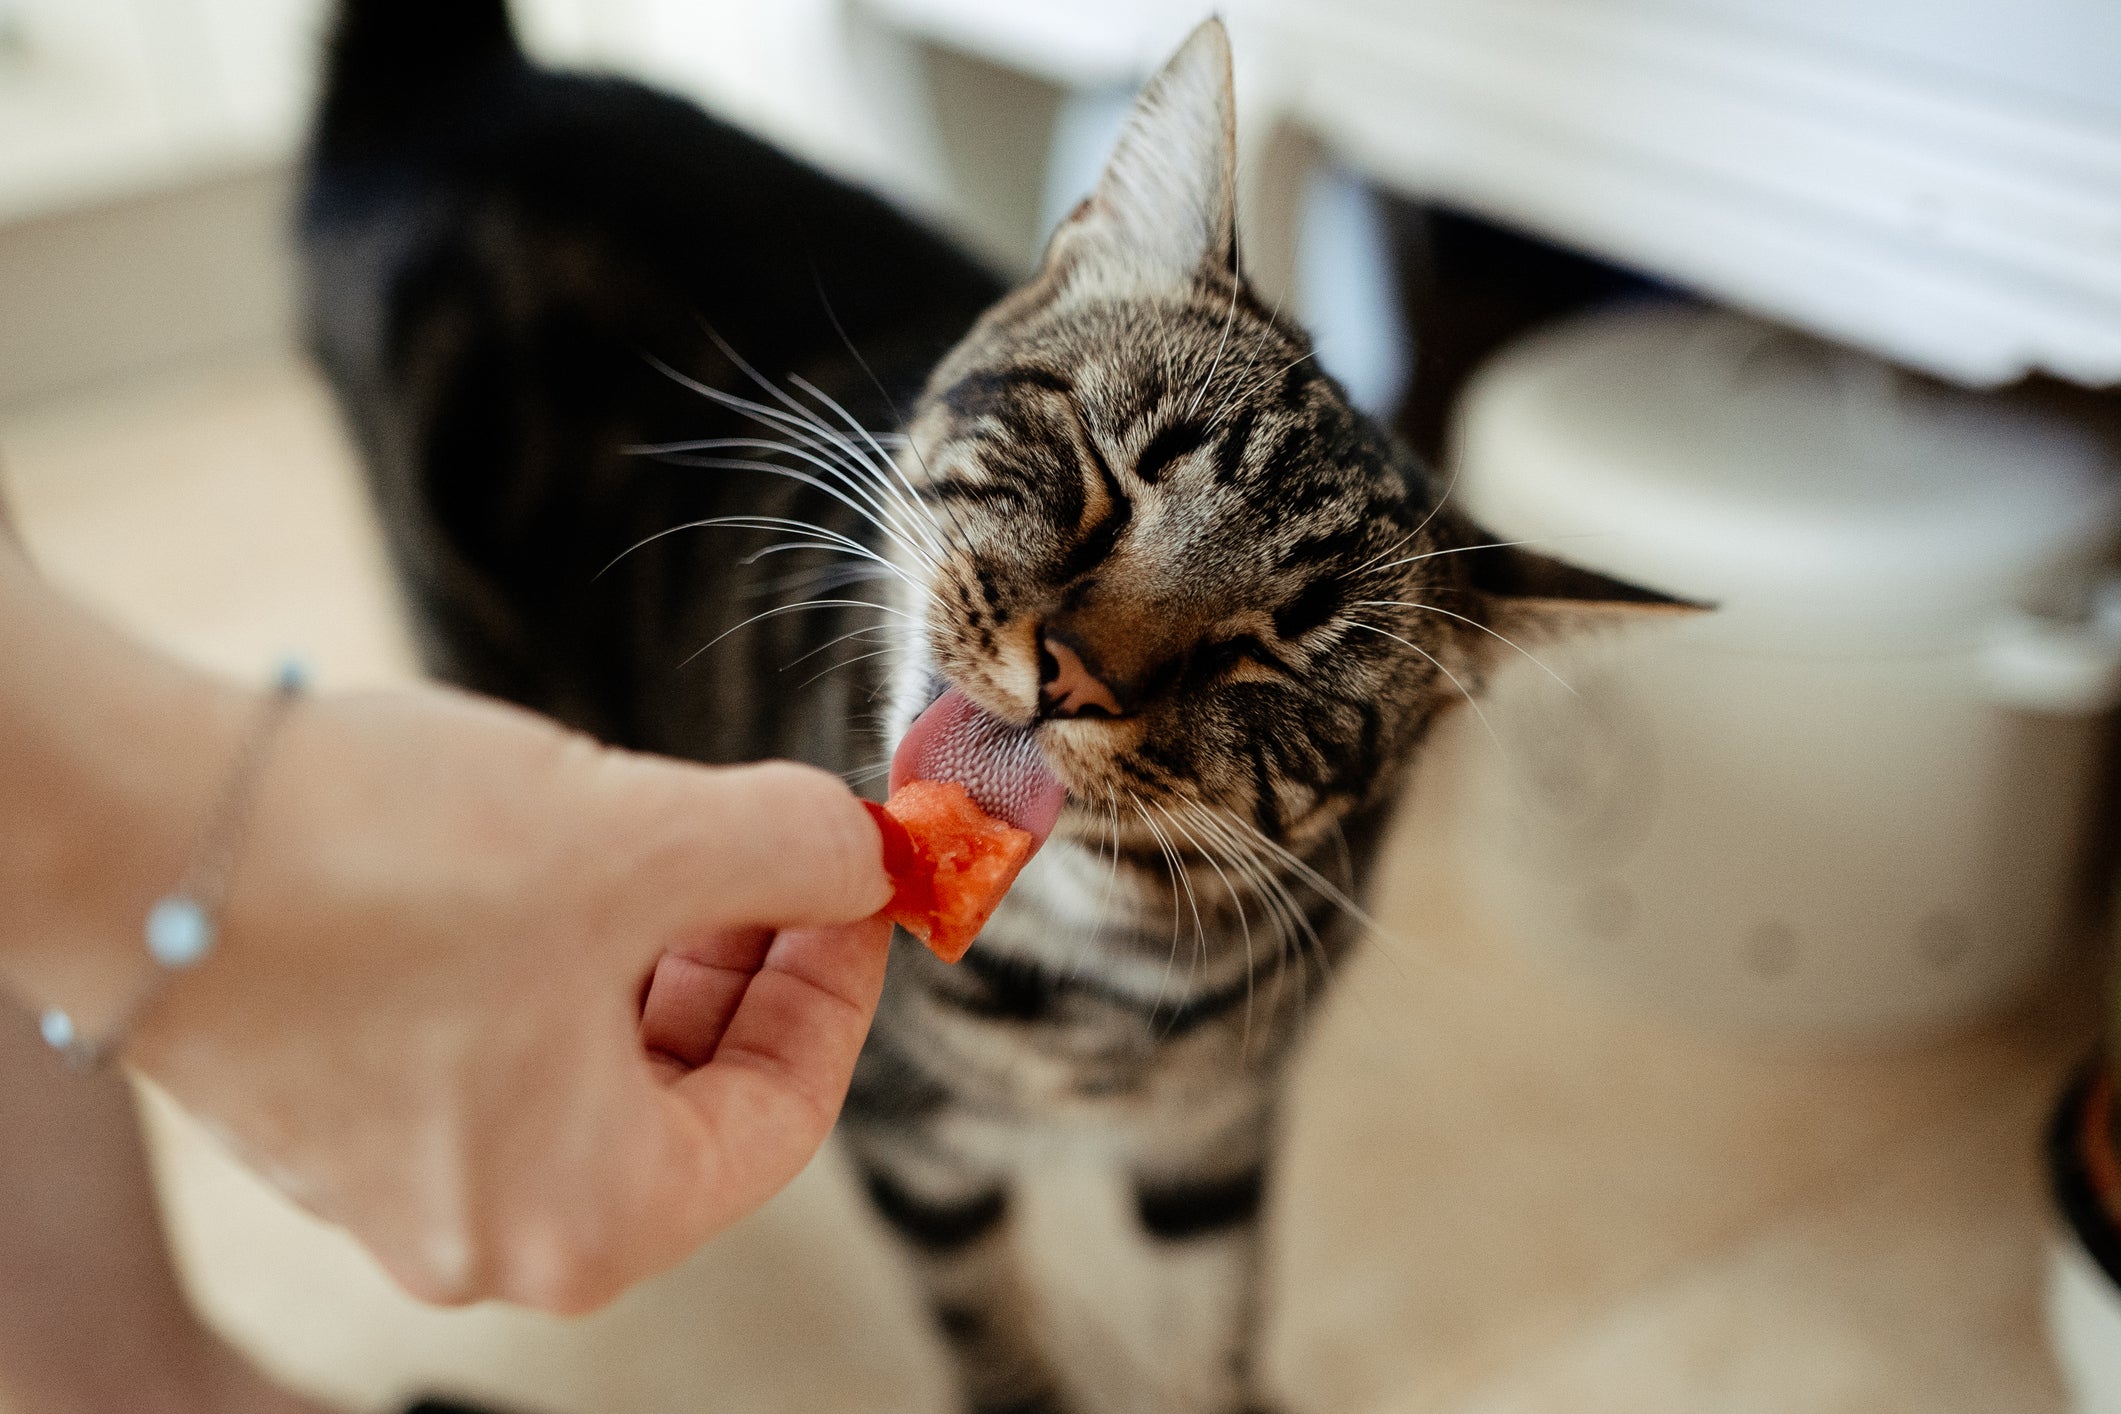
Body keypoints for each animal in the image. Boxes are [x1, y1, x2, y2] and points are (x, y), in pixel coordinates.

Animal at [303, 5, 1688, 1407]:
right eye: (1106, 476)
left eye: (1270, 654)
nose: (1071, 668)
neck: (1085, 980)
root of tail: (471, 87)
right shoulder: (915, 1150)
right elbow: (993, 1327)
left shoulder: (1217, 1138)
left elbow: (1212, 1329)